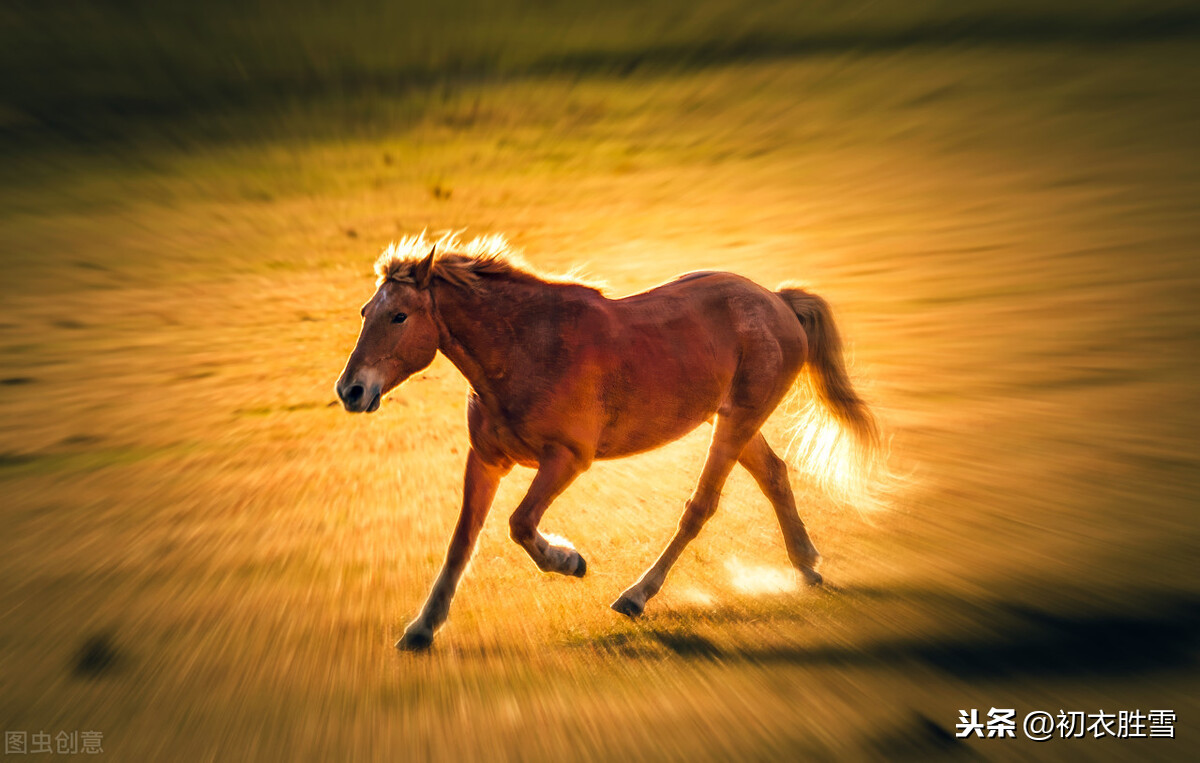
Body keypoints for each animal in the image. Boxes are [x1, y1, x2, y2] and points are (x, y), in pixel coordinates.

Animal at [333, 233, 878, 647]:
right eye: (364, 311)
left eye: (399, 316)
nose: (350, 390)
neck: (525, 348)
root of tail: (777, 301)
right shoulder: (485, 460)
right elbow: (461, 542)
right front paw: (422, 629)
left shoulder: (567, 459)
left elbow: (520, 524)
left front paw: (569, 561)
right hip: (730, 420)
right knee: (775, 477)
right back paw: (806, 566)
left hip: (736, 422)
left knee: (701, 506)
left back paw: (636, 596)